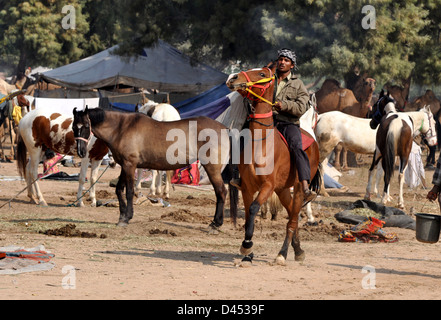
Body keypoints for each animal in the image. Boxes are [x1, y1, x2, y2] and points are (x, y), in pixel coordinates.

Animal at [72, 107, 232, 228]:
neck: (121, 128)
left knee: (221, 192)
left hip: (212, 169)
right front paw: (122, 216)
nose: (81, 152)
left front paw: (127, 217)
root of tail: (224, 128)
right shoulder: (125, 165)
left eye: (86, 126)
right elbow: (119, 190)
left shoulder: (130, 165)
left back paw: (215, 224)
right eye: (74, 127)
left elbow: (129, 192)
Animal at [227, 63, 320, 266]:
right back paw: (298, 250)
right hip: (283, 189)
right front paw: (248, 253)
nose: (232, 78)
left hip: (297, 189)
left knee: (292, 221)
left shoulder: (267, 186)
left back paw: (282, 254)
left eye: (262, 73)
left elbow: (254, 208)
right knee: (292, 215)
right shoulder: (247, 188)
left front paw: (246, 246)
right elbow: (248, 215)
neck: (260, 143)